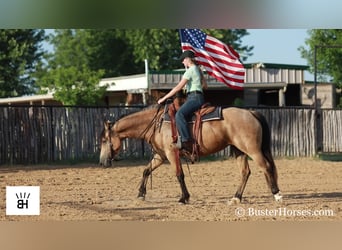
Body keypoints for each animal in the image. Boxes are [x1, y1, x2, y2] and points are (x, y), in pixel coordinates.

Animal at [97, 103, 282, 203]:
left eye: (104, 140)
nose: (102, 162)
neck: (157, 123)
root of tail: (250, 112)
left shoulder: (172, 153)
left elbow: (179, 175)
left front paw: (184, 197)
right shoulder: (160, 156)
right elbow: (146, 170)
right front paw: (141, 194)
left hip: (253, 150)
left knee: (266, 167)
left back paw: (276, 194)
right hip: (239, 150)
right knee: (245, 172)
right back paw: (236, 197)